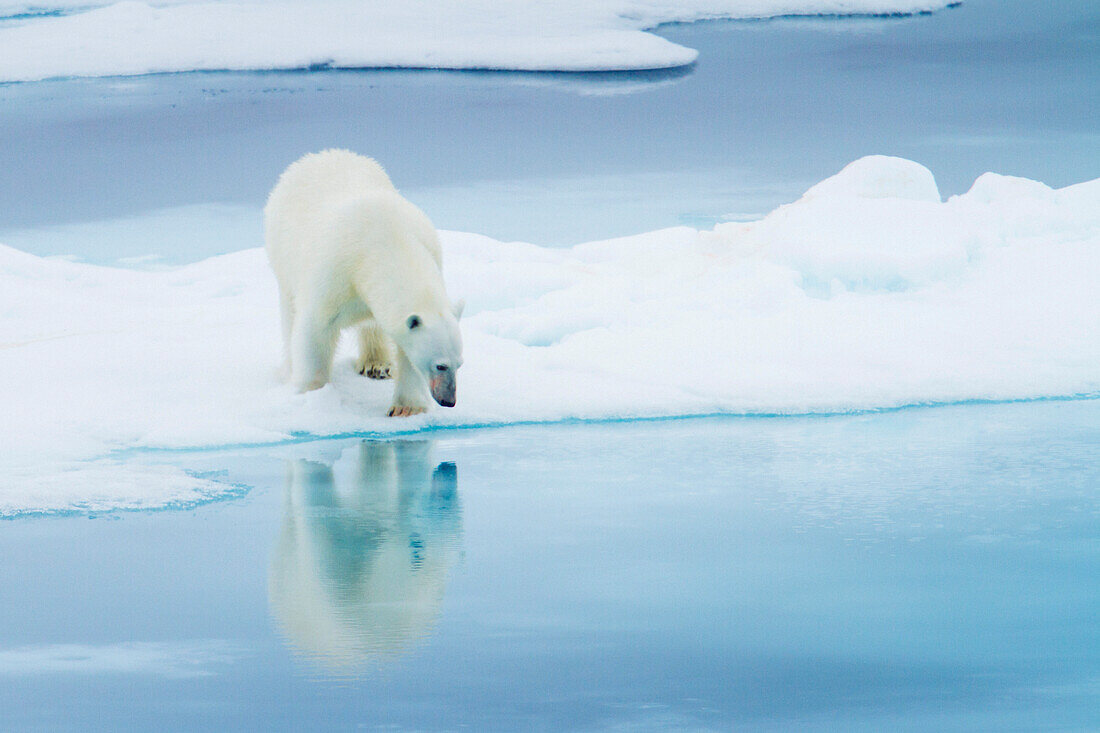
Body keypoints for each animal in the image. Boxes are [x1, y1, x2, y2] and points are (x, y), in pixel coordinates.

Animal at [265, 148, 464, 413]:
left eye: (459, 364)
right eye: (440, 365)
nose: (449, 401)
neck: (386, 240)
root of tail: (320, 155)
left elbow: (405, 349)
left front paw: (406, 408)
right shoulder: (333, 274)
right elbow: (314, 329)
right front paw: (313, 394)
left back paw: (377, 365)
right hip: (283, 252)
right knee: (290, 314)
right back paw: (289, 369)